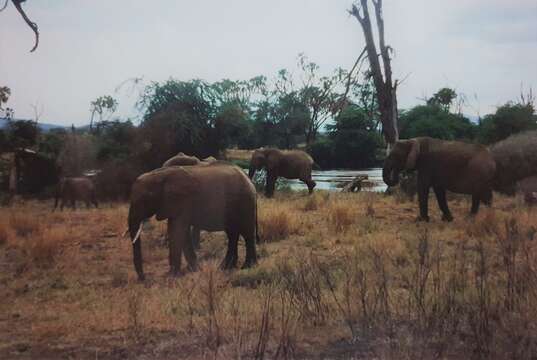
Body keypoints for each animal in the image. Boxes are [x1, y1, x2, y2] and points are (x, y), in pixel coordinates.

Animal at [127, 163, 258, 282]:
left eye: (145, 200)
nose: (143, 278)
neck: (161, 175)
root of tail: (250, 181)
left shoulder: (183, 202)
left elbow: (177, 231)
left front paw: (173, 275)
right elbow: (179, 231)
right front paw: (194, 269)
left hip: (245, 202)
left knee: (247, 233)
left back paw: (247, 267)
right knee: (232, 234)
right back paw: (226, 267)